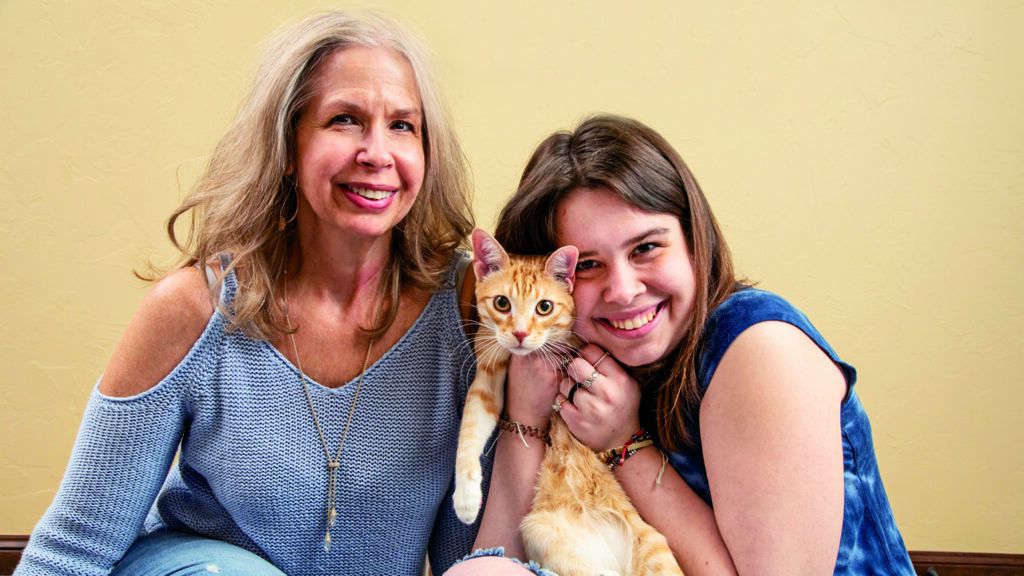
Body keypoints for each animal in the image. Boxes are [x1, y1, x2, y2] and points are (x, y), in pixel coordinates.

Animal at [454, 228, 679, 573]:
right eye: (502, 303)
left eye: (544, 307)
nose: (520, 334)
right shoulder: (487, 378)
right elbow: (470, 429)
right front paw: (465, 499)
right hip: (542, 534)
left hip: (654, 548)